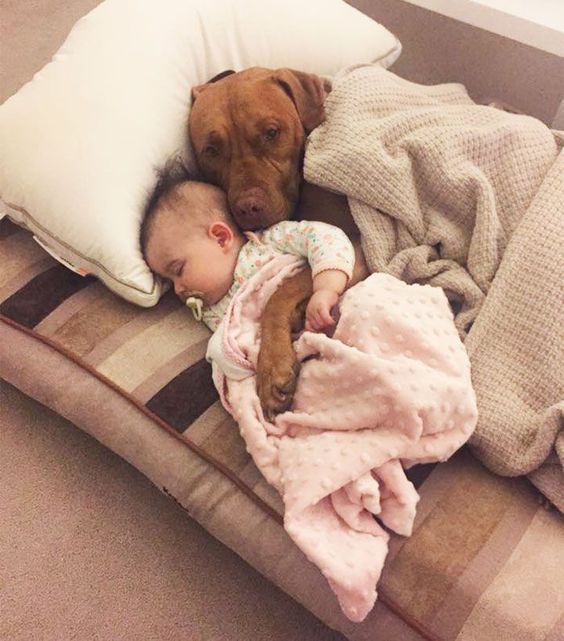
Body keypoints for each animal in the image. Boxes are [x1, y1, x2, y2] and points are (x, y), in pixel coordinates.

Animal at [189, 66, 366, 416]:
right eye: (211, 150)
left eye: (271, 133)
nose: (248, 207)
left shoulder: (358, 246)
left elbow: (279, 294)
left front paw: (271, 367)